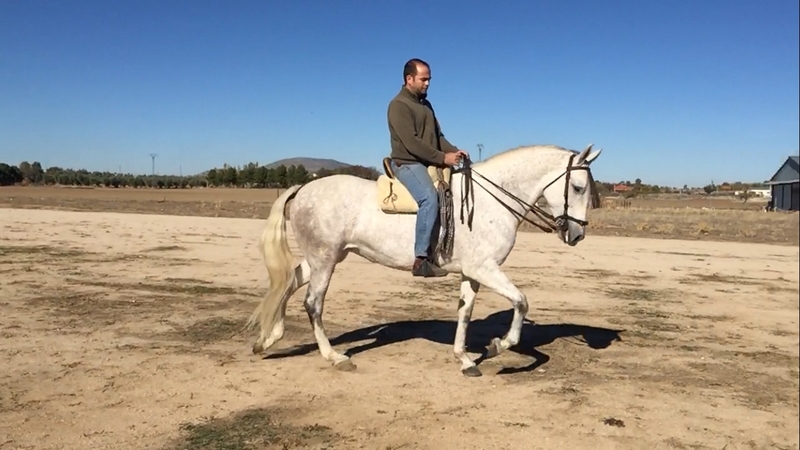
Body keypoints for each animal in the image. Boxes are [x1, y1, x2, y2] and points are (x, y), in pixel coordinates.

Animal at [246, 143, 602, 377]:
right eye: (578, 187)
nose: (577, 234)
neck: (491, 200)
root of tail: (303, 188)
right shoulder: (485, 269)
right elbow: (521, 301)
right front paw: (497, 346)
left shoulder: (472, 273)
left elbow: (465, 312)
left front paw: (465, 359)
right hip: (324, 260)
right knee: (313, 304)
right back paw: (334, 357)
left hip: (324, 257)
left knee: (288, 282)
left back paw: (268, 340)